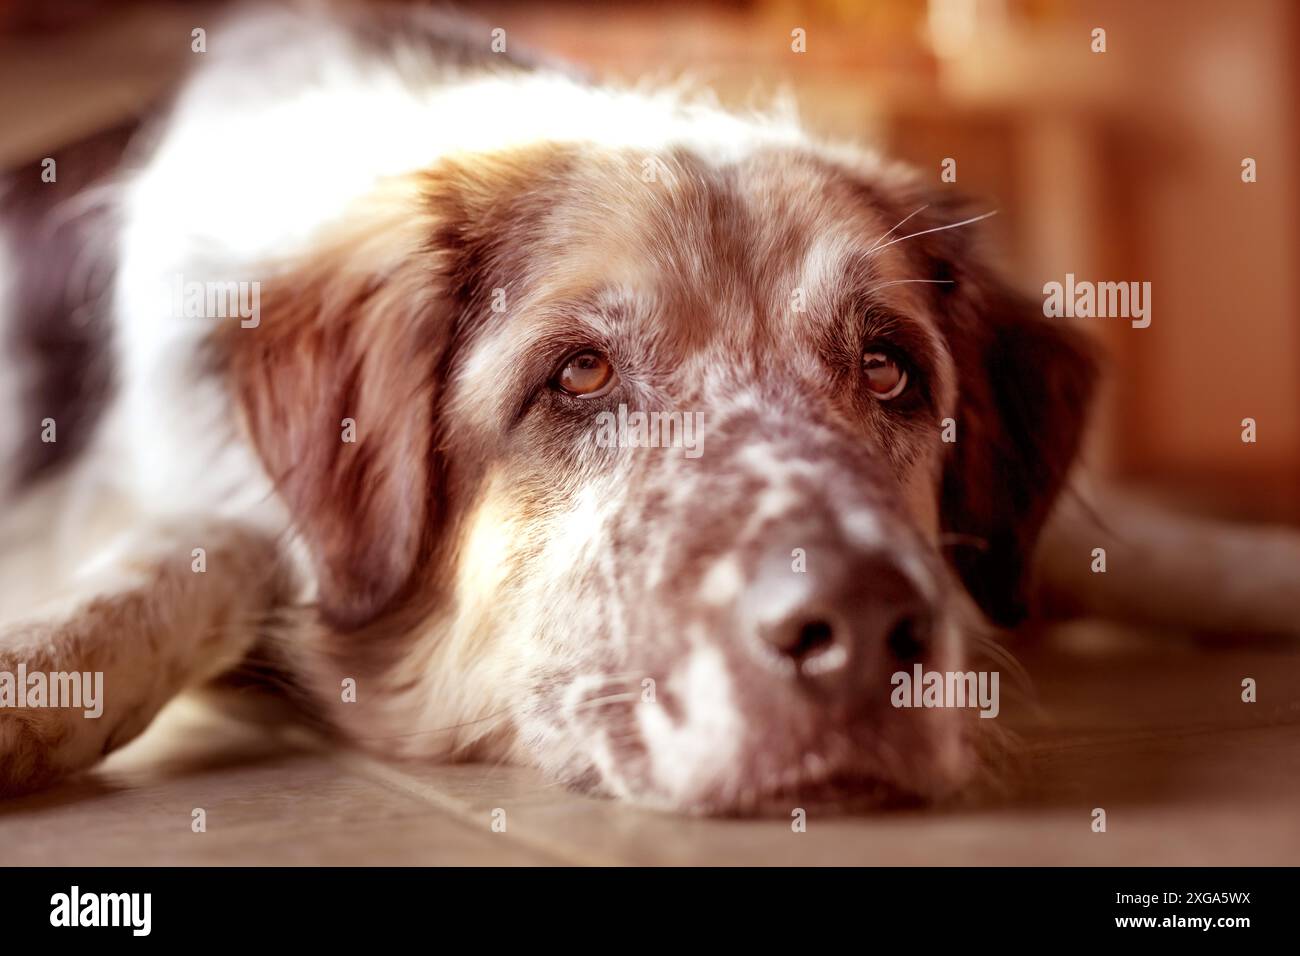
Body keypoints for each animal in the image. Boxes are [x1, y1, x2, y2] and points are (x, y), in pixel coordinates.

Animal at [2, 5, 1300, 816]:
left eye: (889, 370)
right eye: (578, 375)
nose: (860, 629)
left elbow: (1153, 549)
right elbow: (194, 559)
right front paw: (38, 672)